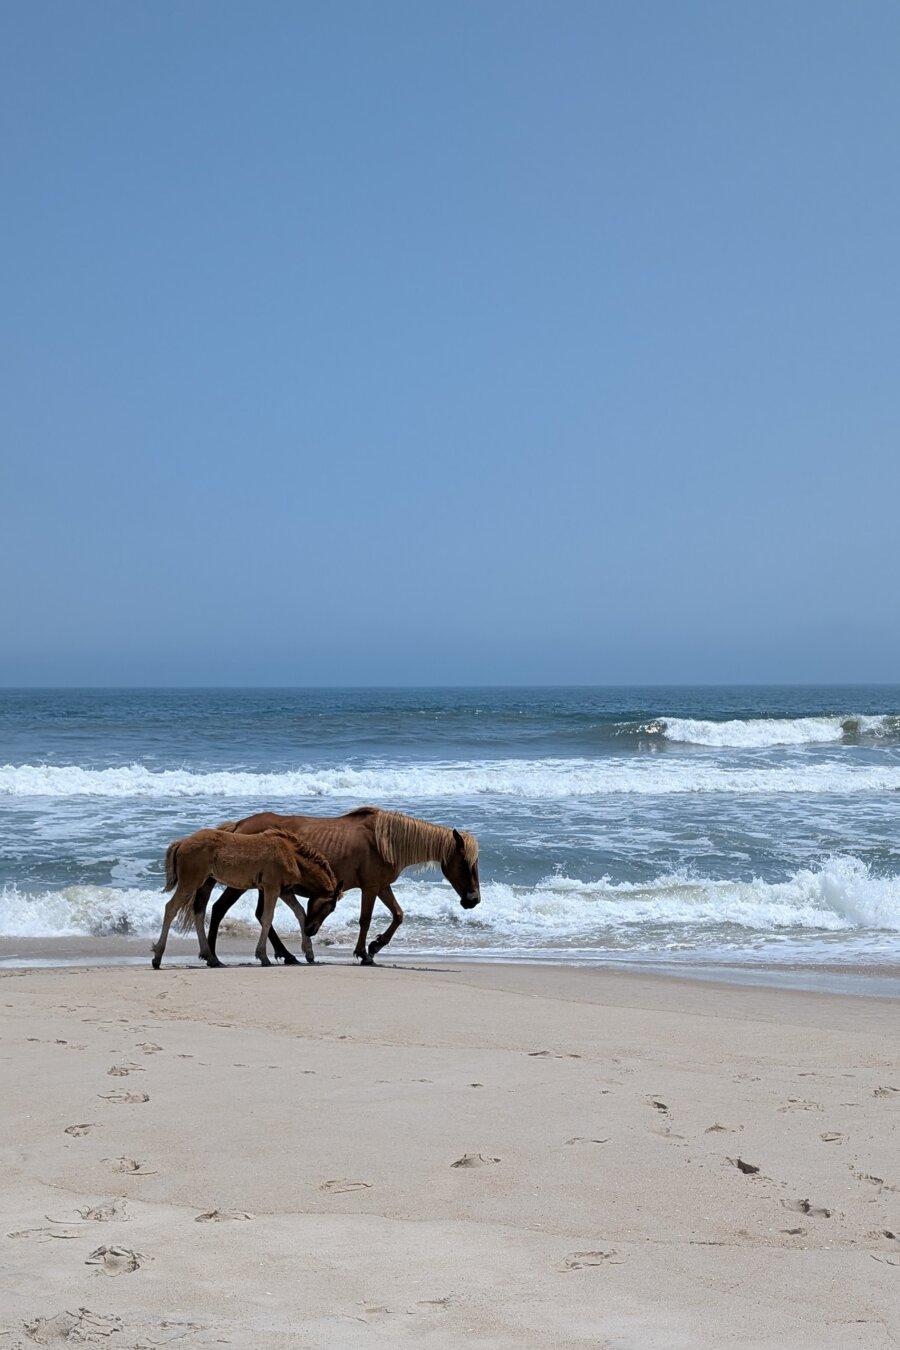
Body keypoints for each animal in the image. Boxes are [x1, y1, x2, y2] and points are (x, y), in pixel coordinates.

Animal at [152, 828, 343, 969]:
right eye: (331, 907)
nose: (312, 930)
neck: (291, 854)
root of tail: (181, 842)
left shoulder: (284, 891)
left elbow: (300, 912)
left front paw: (309, 952)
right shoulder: (272, 887)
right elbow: (267, 917)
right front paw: (263, 956)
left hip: (204, 882)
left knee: (198, 912)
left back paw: (211, 958)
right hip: (190, 882)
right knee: (171, 908)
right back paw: (157, 957)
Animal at [203, 807, 481, 966]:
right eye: (466, 863)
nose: (473, 899)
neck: (387, 841)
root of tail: (238, 826)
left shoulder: (382, 887)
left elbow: (398, 915)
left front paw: (375, 946)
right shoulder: (370, 887)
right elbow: (365, 919)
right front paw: (364, 953)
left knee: (260, 915)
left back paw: (286, 955)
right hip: (243, 884)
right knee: (220, 910)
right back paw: (214, 957)